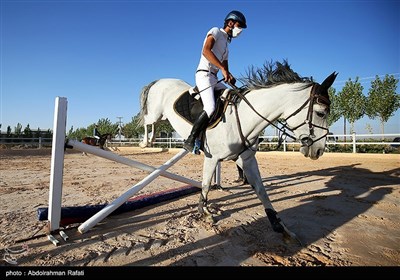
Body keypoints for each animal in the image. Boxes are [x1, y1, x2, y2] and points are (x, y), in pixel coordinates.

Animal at [136, 61, 336, 243]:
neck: (246, 118)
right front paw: (204, 212)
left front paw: (281, 227)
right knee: (147, 121)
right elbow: (206, 185)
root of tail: (160, 80)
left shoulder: (245, 160)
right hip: (156, 113)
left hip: (163, 117)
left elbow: (262, 191)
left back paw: (151, 139)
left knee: (154, 124)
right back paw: (145, 142)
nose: (319, 150)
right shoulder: (212, 158)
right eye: (320, 113)